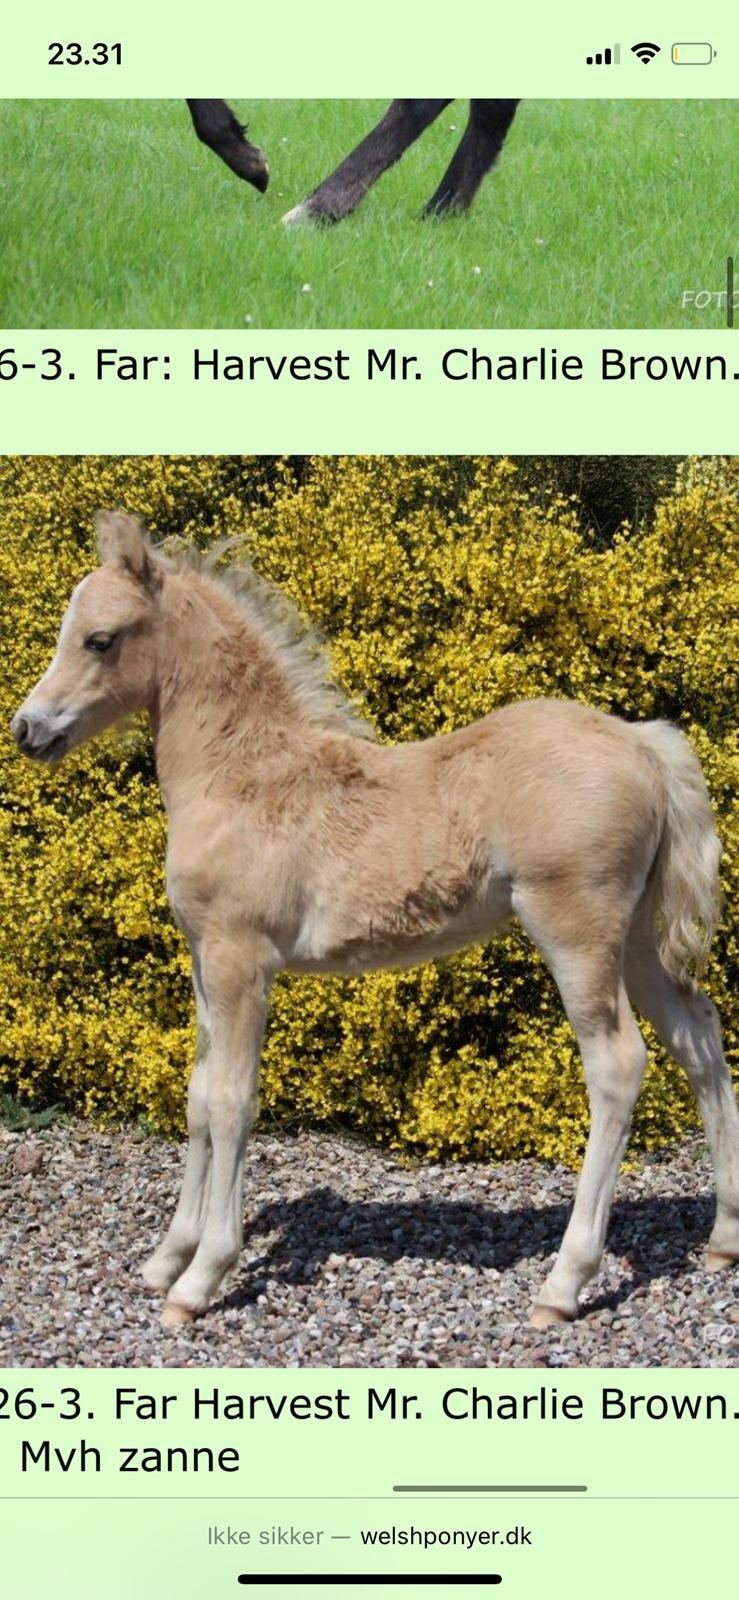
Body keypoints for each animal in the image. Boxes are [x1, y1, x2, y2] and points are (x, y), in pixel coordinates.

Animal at [11, 512, 739, 1331]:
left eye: (99, 639)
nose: (27, 730)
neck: (245, 776)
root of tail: (644, 744)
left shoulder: (241, 959)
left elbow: (233, 1101)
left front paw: (201, 1279)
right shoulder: (203, 960)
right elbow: (198, 1097)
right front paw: (167, 1258)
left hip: (576, 930)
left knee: (618, 1064)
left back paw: (563, 1282)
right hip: (639, 938)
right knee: (699, 1038)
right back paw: (721, 1239)